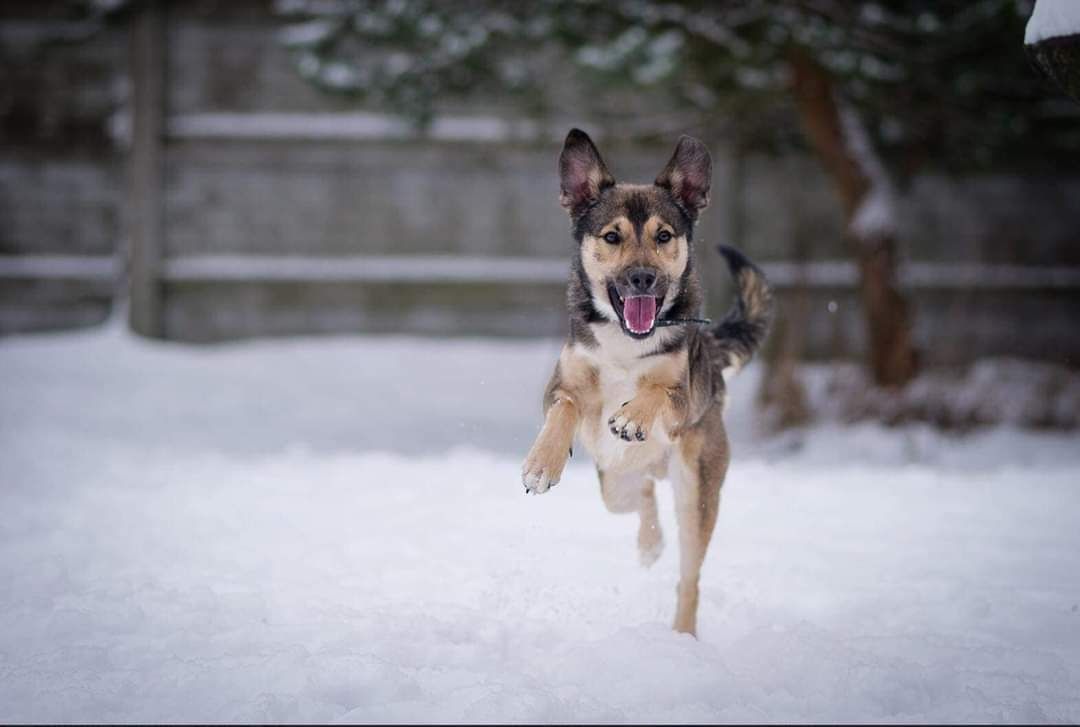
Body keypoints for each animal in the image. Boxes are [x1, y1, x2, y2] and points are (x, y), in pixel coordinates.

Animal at [520, 129, 768, 635]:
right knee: (643, 494)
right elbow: (566, 406)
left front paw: (633, 415)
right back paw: (649, 544)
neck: (626, 341)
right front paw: (542, 463)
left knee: (689, 576)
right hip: (615, 483)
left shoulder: (684, 396)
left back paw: (683, 634)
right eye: (612, 236)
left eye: (664, 236)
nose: (642, 277)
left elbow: (657, 390)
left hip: (696, 489)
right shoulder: (562, 383)